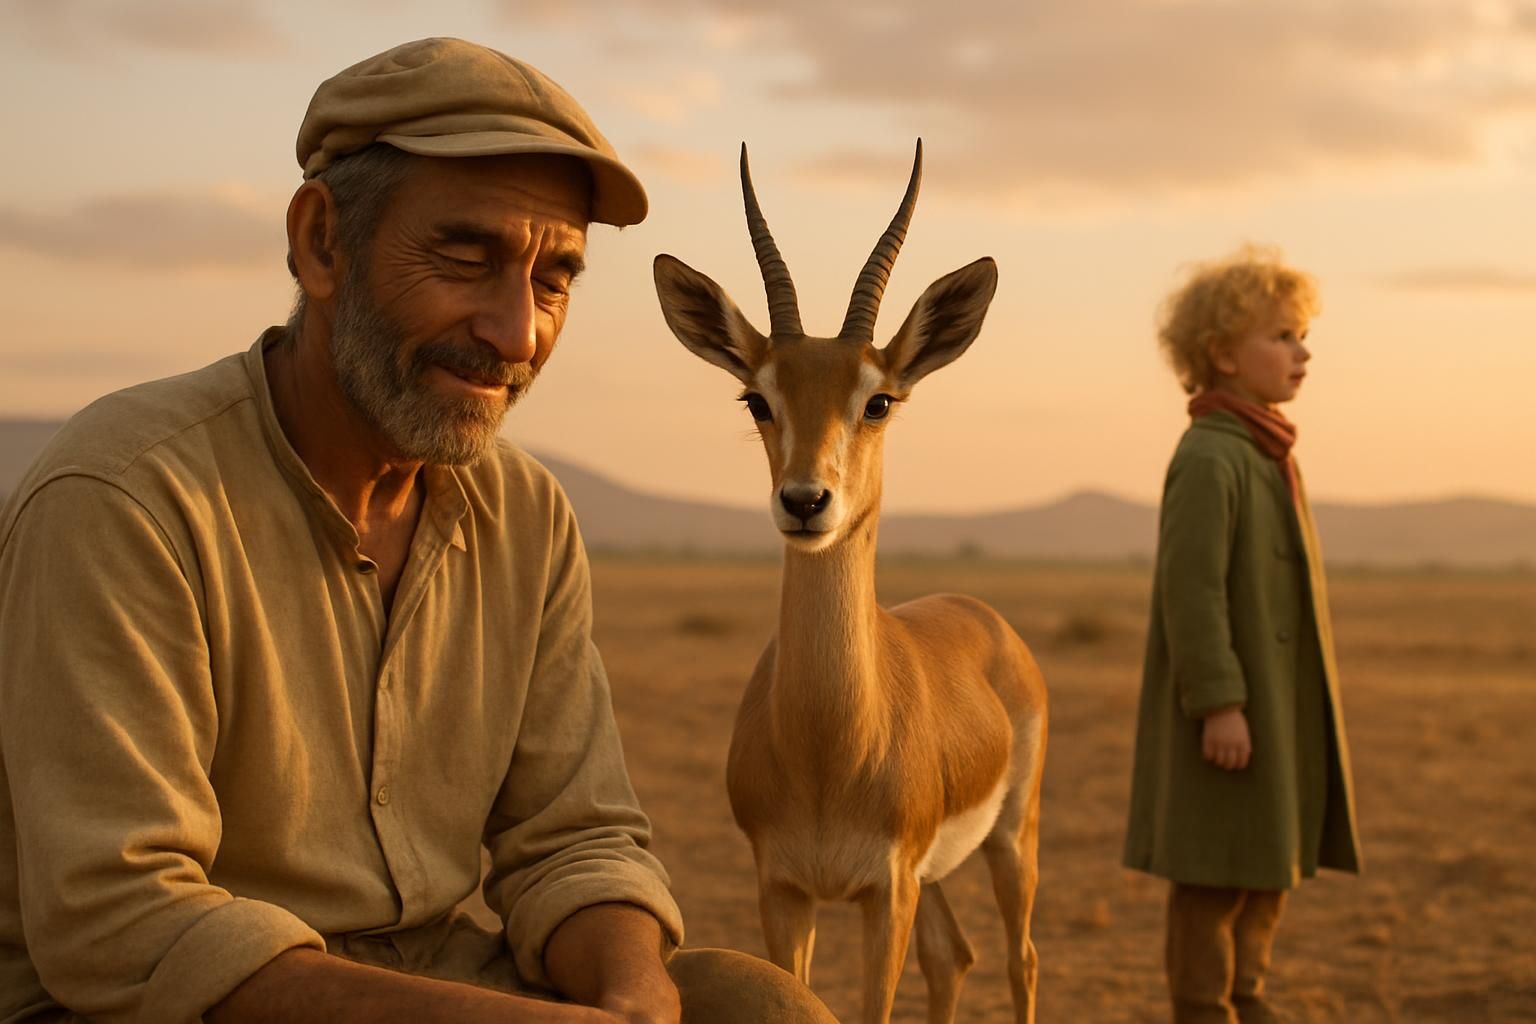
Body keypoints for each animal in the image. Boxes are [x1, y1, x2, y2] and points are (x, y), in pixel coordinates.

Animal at [652, 142, 1048, 1024]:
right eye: (756, 398)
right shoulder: (784, 890)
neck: (831, 750)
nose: (806, 502)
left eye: (879, 400)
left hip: (1011, 840)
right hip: (935, 877)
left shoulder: (883, 891)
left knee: (1021, 959)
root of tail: (985, 618)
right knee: (953, 957)